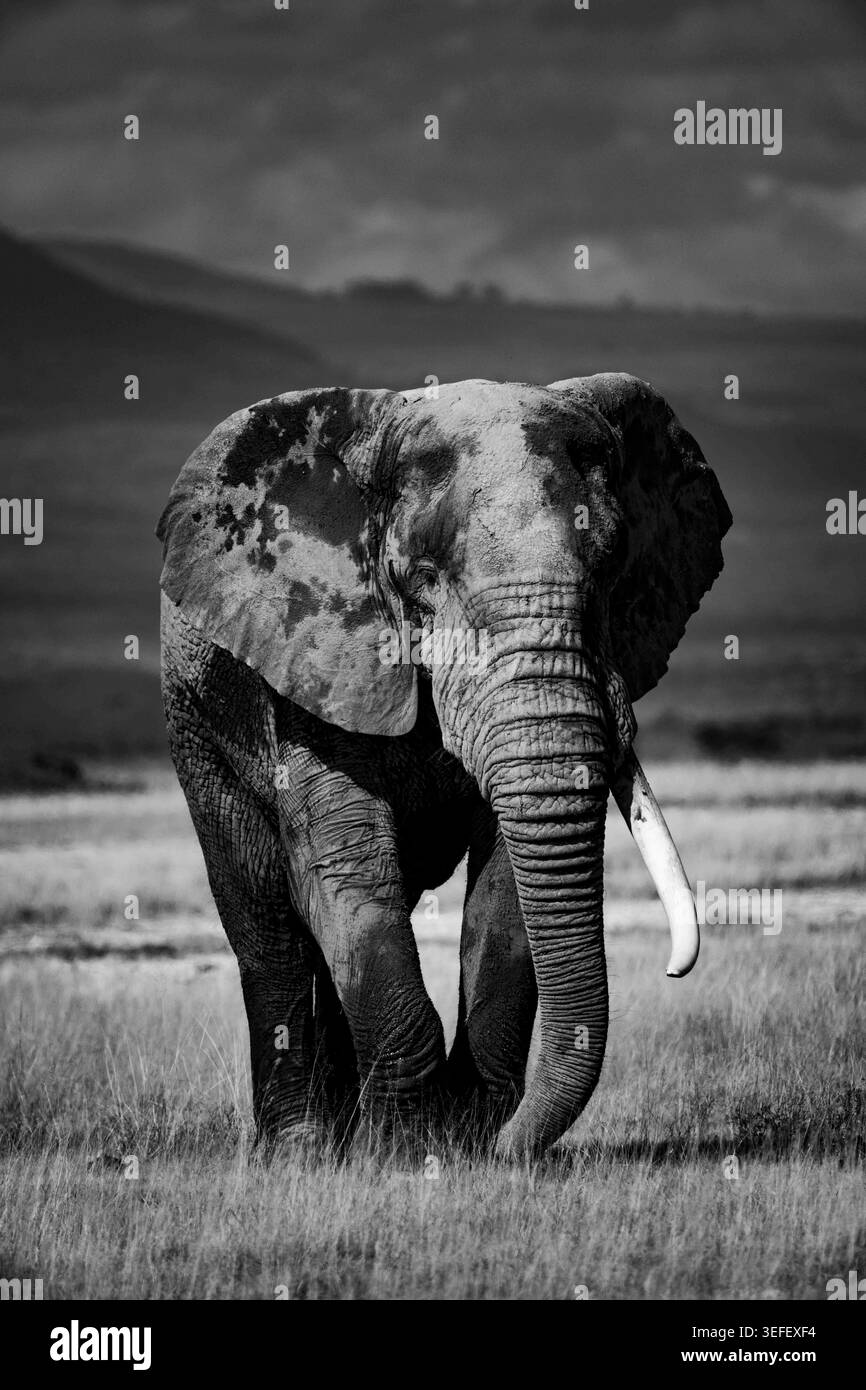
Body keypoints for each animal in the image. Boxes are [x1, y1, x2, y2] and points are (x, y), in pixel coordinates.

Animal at [157, 374, 731, 1159]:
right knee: (266, 919)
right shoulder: (312, 657)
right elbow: (347, 870)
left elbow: (505, 892)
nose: (511, 1147)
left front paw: (464, 1140)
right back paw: (303, 1146)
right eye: (424, 579)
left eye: (613, 575)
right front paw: (401, 1152)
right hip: (196, 724)